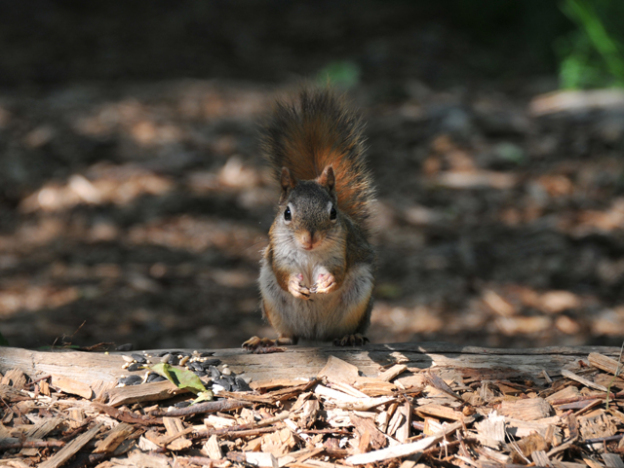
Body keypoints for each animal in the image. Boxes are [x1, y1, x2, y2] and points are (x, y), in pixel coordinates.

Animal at [244, 88, 376, 350]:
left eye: (333, 213)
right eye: (287, 213)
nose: (310, 238)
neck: (310, 254)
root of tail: (314, 337)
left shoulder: (342, 248)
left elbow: (339, 271)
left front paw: (328, 281)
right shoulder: (279, 252)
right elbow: (282, 273)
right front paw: (294, 285)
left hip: (358, 298)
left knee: (344, 330)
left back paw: (350, 337)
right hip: (273, 302)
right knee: (288, 337)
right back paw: (267, 340)